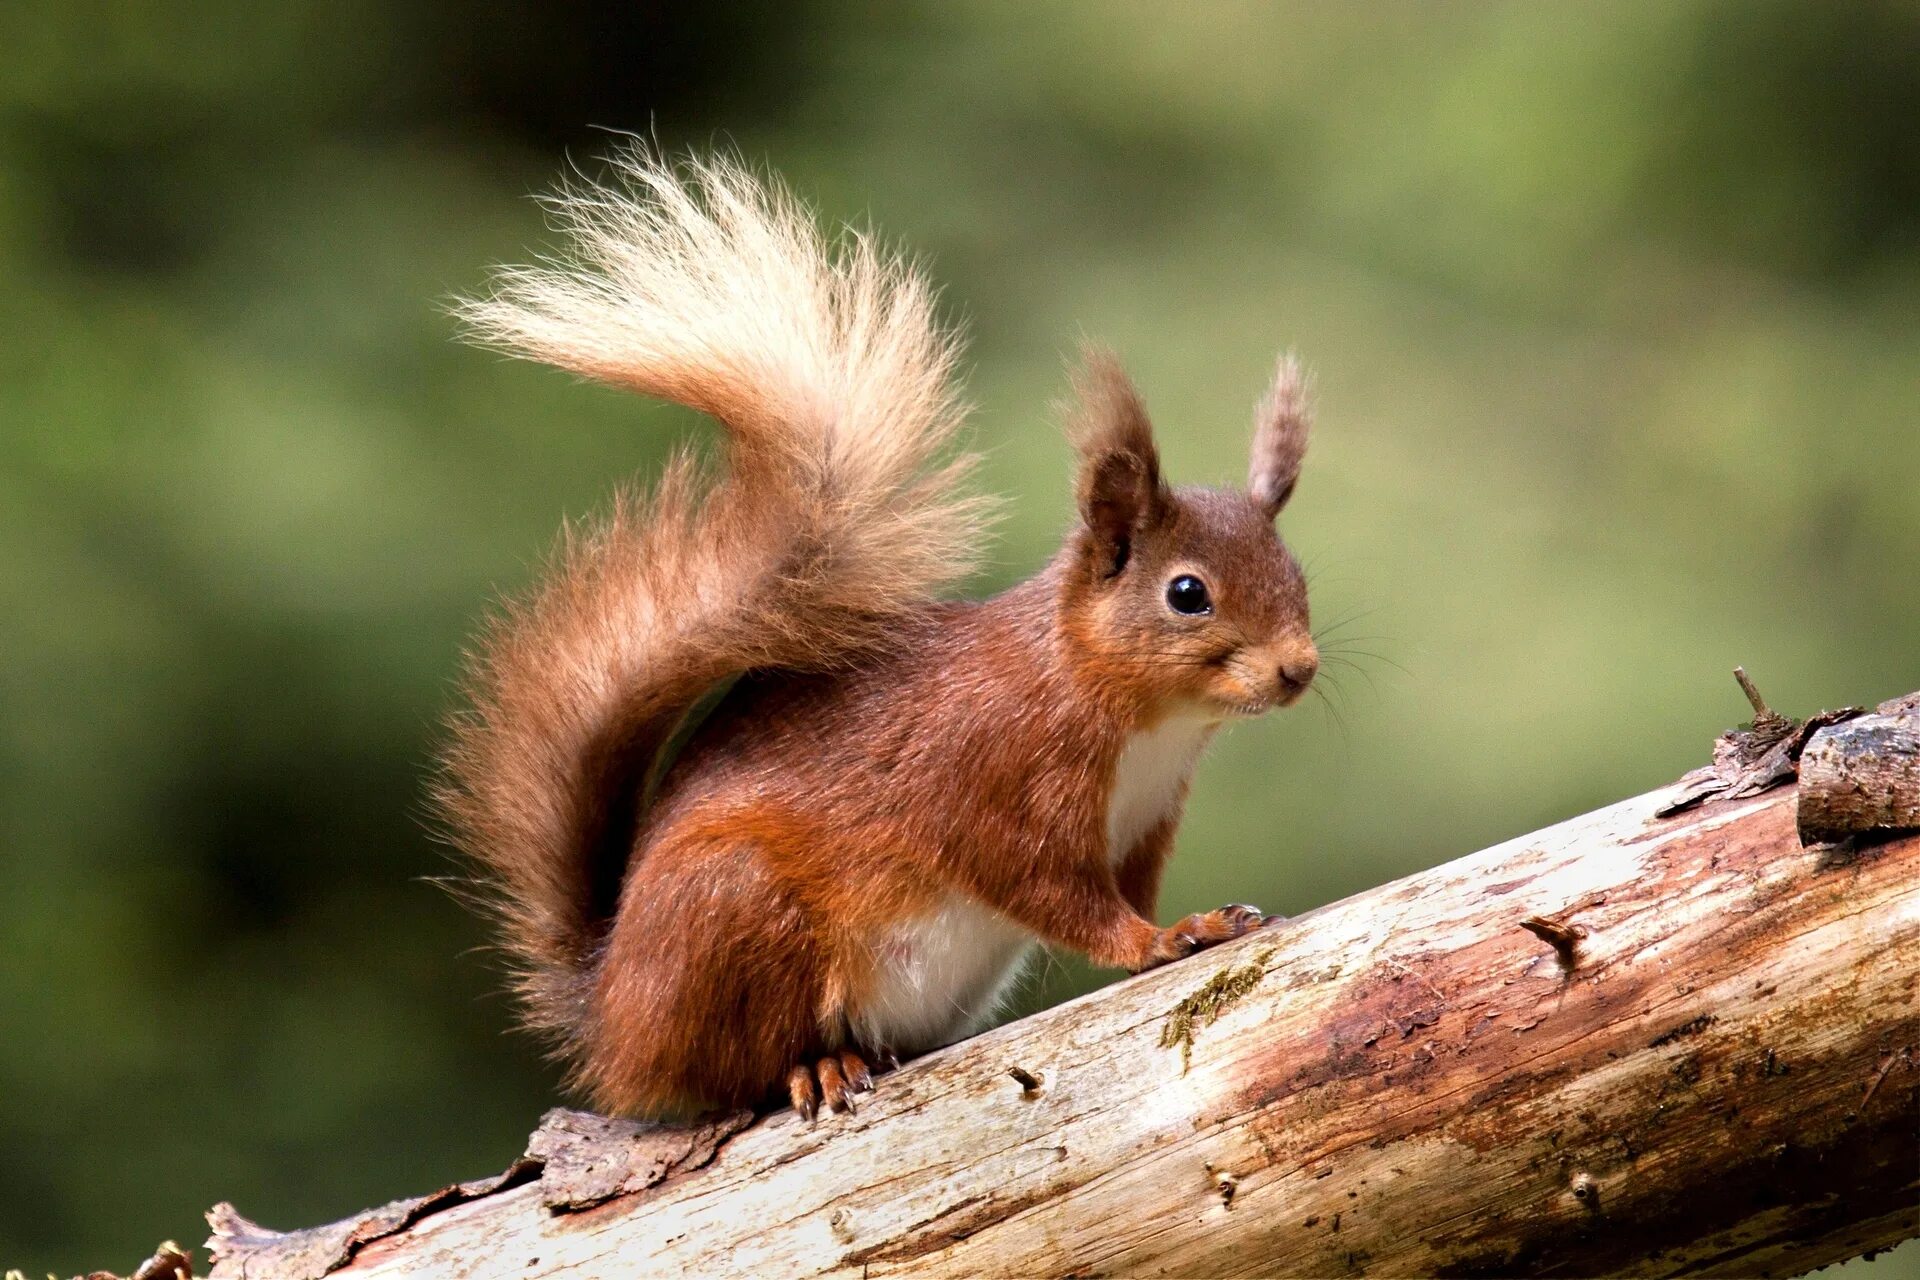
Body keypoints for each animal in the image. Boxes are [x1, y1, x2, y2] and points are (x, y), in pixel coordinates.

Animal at [443, 150, 1320, 1120]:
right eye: (1187, 594)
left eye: (1299, 577)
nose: (1300, 670)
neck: (1142, 722)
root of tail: (611, 1021)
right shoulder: (993, 779)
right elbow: (1056, 894)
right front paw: (1156, 940)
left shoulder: (1145, 821)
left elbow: (1131, 887)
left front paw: (1195, 920)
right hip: (735, 910)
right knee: (735, 1071)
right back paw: (818, 1064)